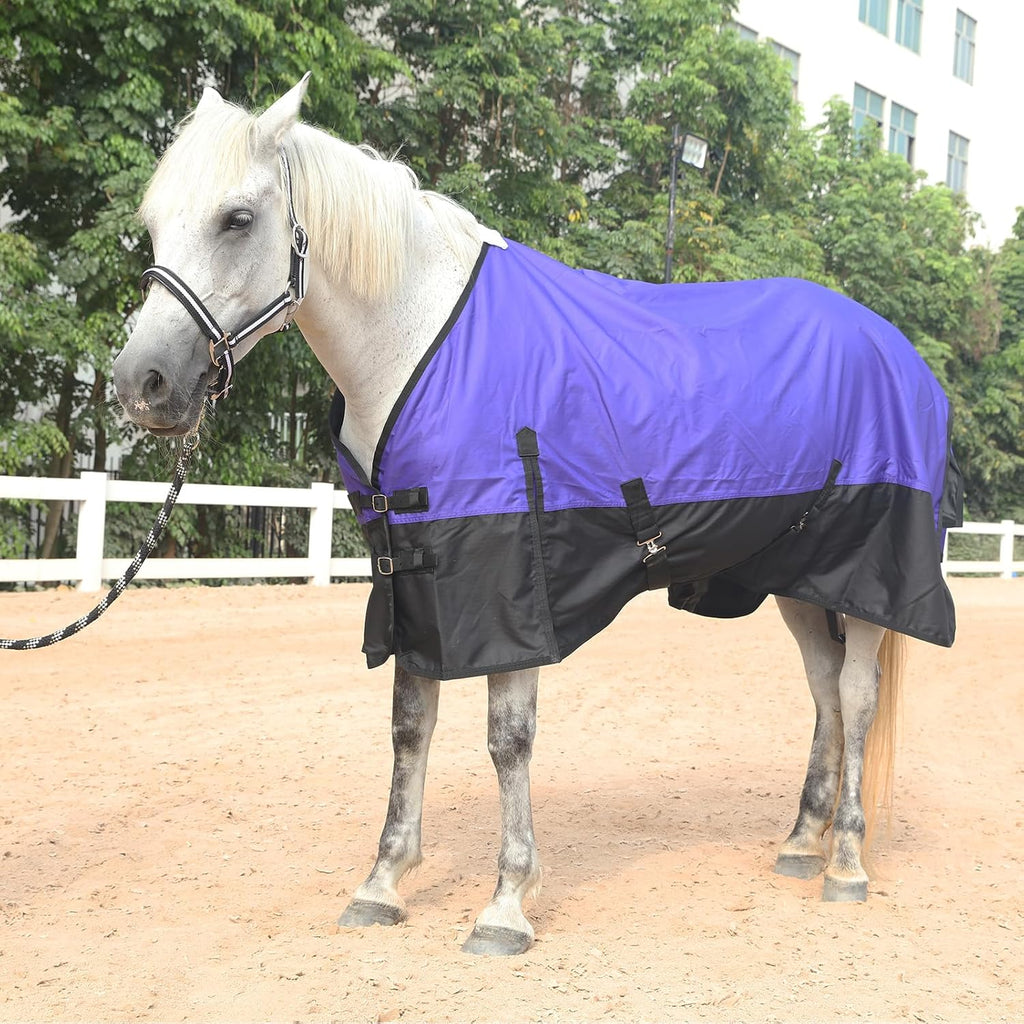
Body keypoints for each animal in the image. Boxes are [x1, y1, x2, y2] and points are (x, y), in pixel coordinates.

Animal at [111, 76, 961, 956]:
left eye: (237, 218)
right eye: (152, 221)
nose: (141, 384)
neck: (421, 345)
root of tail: (902, 354)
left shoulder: (507, 583)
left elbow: (506, 740)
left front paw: (506, 903)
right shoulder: (412, 574)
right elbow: (410, 726)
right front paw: (383, 882)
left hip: (865, 579)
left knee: (856, 700)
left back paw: (846, 864)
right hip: (799, 579)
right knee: (825, 693)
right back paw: (801, 842)